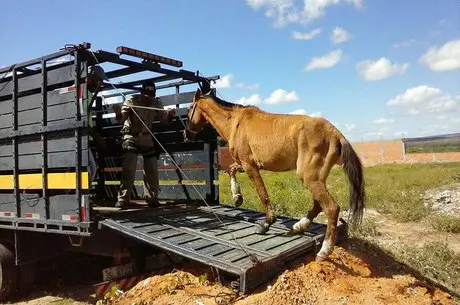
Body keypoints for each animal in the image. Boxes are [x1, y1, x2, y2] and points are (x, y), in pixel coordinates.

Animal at [184, 88, 366, 262]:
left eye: (189, 109)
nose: (187, 135)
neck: (236, 123)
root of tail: (335, 134)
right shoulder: (244, 164)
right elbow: (231, 170)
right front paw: (237, 197)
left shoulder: (250, 166)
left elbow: (263, 194)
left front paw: (266, 224)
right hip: (316, 178)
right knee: (318, 204)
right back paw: (299, 226)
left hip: (310, 177)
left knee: (331, 208)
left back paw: (324, 251)